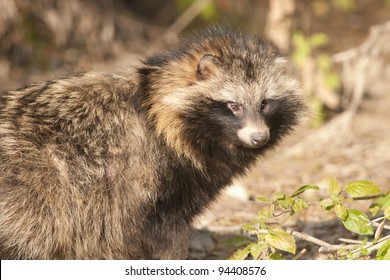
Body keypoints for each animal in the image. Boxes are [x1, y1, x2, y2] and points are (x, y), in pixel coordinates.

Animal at [0, 26, 308, 260]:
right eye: (233, 105)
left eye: (265, 103)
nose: (259, 138)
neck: (155, 111)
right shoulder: (142, 184)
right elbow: (159, 238)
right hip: (34, 193)